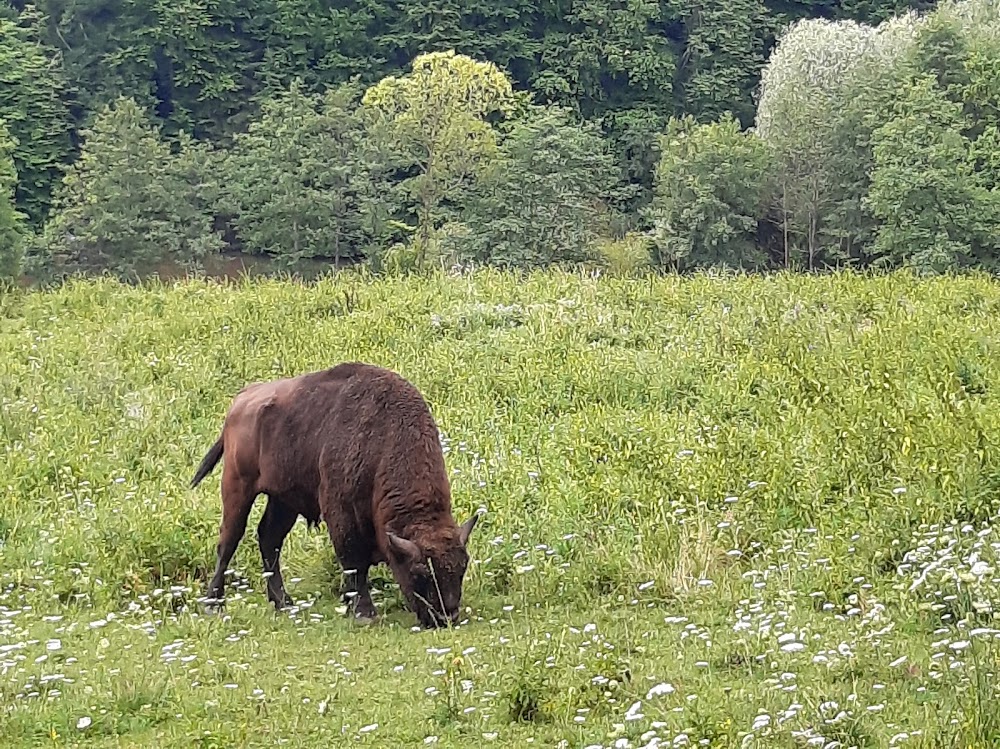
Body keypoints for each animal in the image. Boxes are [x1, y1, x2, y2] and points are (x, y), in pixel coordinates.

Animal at [192, 362, 484, 624]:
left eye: (462, 567)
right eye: (420, 573)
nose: (446, 617)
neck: (384, 439)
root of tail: (242, 400)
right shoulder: (340, 511)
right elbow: (353, 560)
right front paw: (364, 613)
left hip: (284, 500)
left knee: (269, 538)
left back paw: (284, 603)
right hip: (237, 485)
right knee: (229, 541)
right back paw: (214, 605)